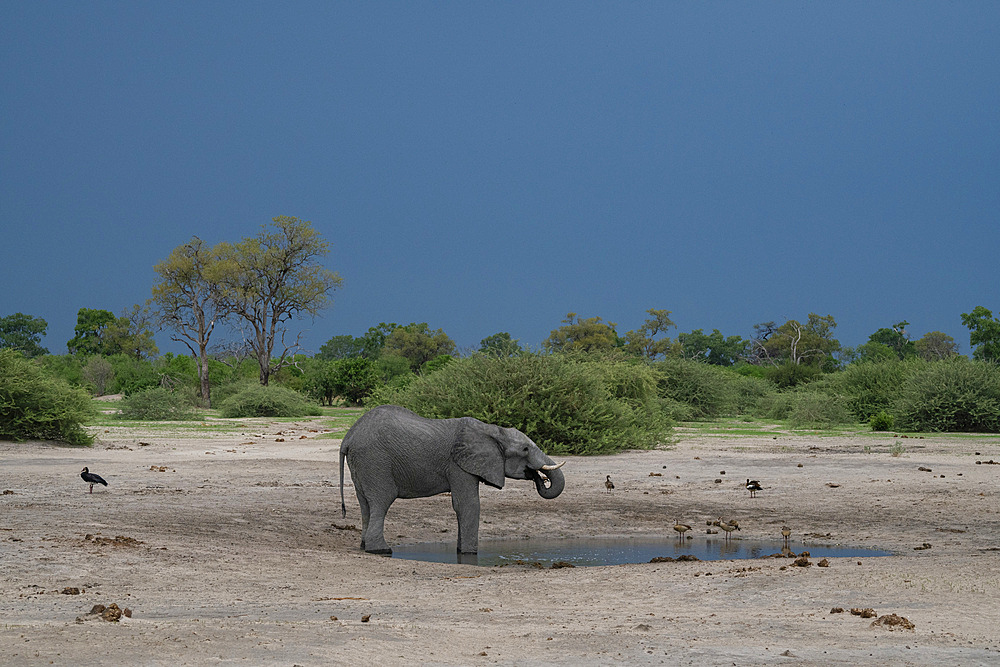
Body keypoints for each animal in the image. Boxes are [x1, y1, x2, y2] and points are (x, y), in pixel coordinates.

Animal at [340, 404, 568, 556]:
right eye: (525, 449)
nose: (537, 476)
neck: (492, 430)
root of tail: (349, 436)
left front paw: (460, 551)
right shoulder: (458, 465)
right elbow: (468, 504)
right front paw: (469, 554)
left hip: (362, 465)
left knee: (366, 505)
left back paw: (364, 547)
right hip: (375, 461)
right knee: (382, 501)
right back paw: (381, 550)